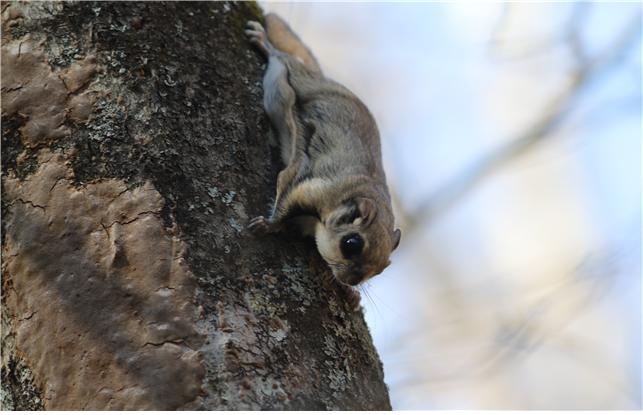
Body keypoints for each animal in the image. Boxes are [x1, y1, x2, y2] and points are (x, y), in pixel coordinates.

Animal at [247, 14, 402, 310]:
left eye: (383, 268)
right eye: (351, 244)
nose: (352, 280)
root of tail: (320, 79)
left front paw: (350, 294)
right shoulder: (310, 186)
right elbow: (285, 198)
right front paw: (268, 225)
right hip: (284, 86)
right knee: (283, 60)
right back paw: (264, 42)